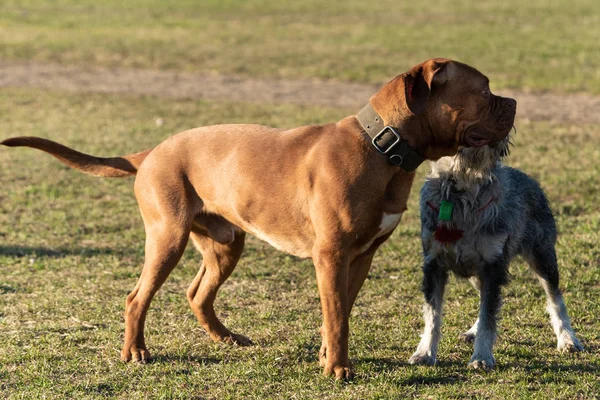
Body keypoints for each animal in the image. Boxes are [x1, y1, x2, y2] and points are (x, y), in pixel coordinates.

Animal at [0, 58, 516, 378]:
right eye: (485, 89)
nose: (513, 102)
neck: (381, 148)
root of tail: (151, 153)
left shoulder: (359, 258)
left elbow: (339, 313)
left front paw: (327, 356)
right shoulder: (331, 256)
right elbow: (337, 316)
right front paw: (337, 369)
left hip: (225, 243)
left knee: (196, 294)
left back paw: (226, 339)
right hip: (167, 238)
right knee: (135, 297)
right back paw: (136, 352)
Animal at [408, 134, 580, 368]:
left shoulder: (492, 267)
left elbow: (489, 315)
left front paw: (481, 357)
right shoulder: (434, 264)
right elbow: (432, 314)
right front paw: (424, 353)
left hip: (543, 257)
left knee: (555, 297)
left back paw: (568, 339)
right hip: (477, 274)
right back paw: (472, 331)